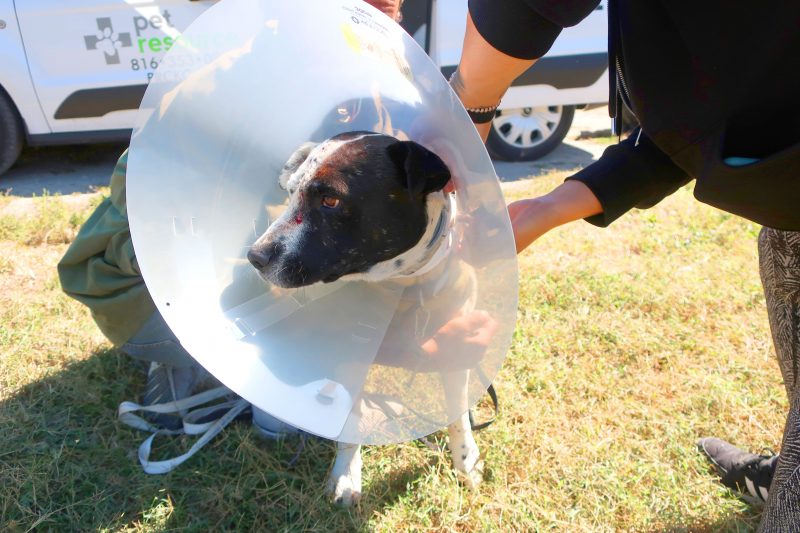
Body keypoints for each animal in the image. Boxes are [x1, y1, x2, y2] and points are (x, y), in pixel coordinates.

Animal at [247, 131, 482, 504]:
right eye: (291, 193)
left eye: (330, 200)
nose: (254, 256)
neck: (405, 288)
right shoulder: (350, 359)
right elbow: (348, 425)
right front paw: (346, 475)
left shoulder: (456, 346)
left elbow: (458, 413)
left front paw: (465, 460)